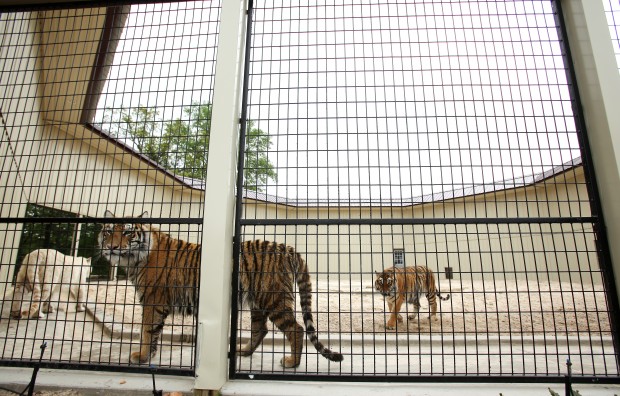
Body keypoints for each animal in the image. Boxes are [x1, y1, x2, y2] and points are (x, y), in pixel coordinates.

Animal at [98, 212, 344, 366]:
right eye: (108, 232)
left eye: (128, 232)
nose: (112, 247)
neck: (134, 259)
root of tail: (287, 247)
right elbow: (154, 332)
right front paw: (149, 356)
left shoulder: (153, 299)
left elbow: (147, 331)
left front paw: (141, 356)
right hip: (257, 300)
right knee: (260, 329)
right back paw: (243, 351)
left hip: (274, 298)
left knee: (296, 329)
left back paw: (292, 363)